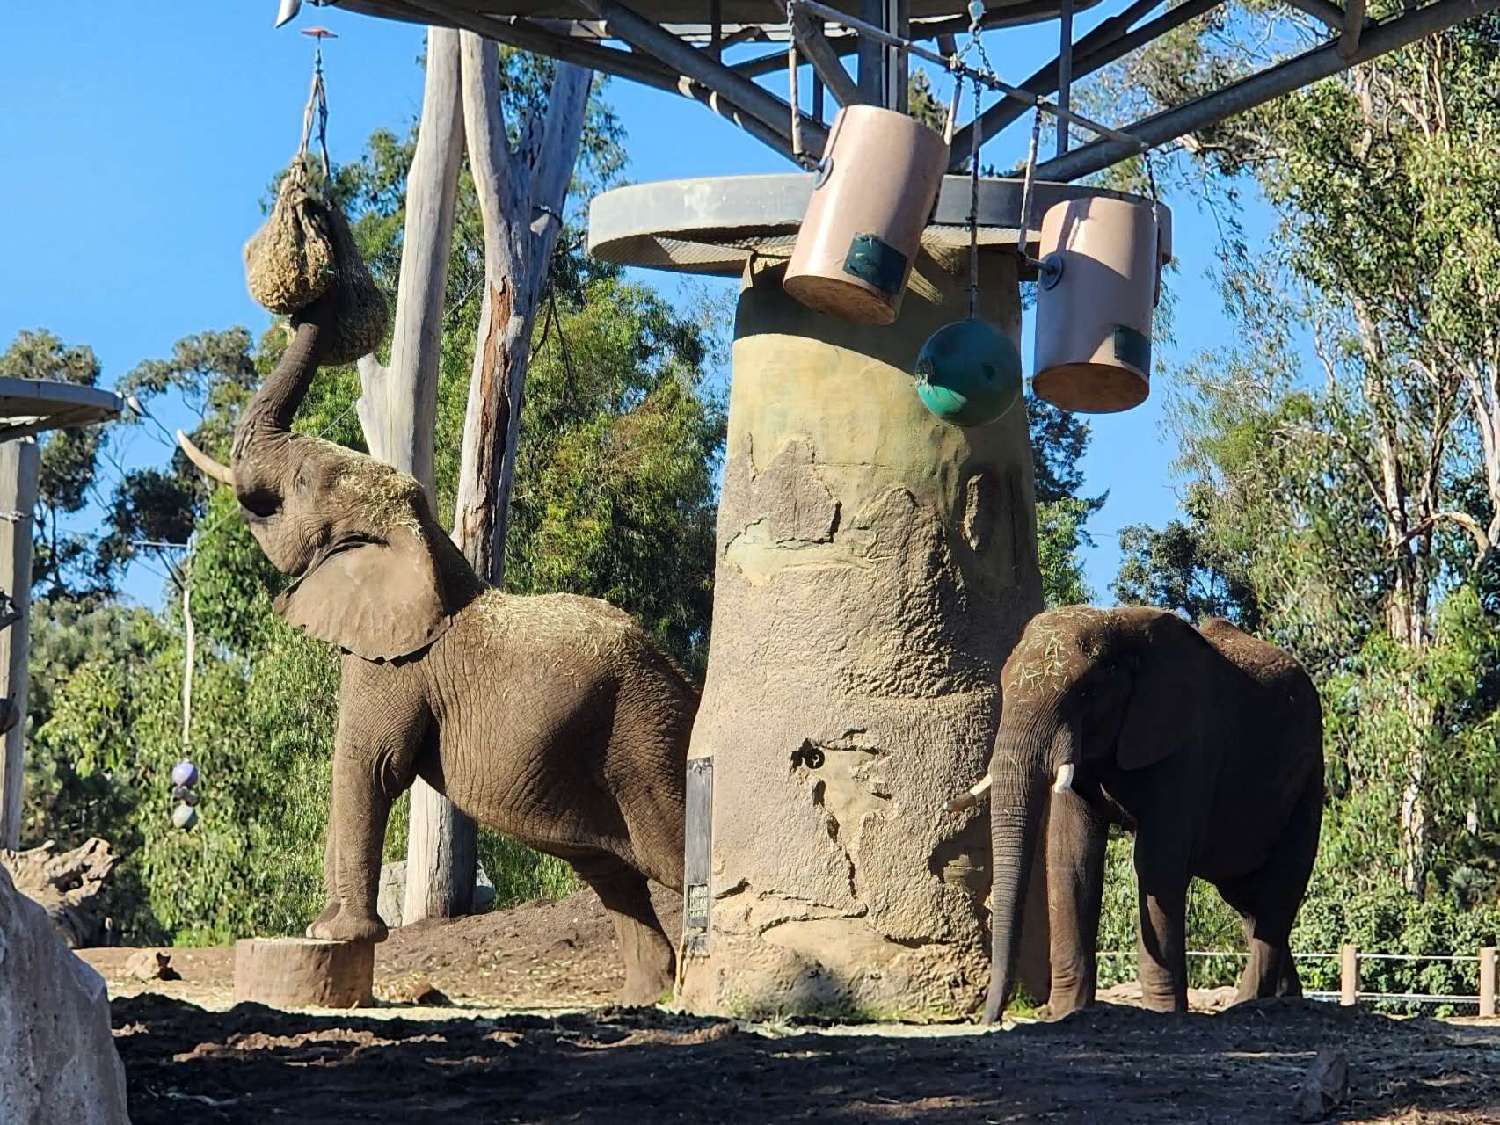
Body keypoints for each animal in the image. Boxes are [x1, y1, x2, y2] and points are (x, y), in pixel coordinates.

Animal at [178, 299, 697, 1004]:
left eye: (303, 481)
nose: (313, 304)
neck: (418, 538)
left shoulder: (395, 663)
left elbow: (369, 767)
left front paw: (333, 933)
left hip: (647, 743)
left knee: (676, 852)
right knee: (611, 874)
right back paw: (645, 997)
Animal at [969, 605, 1323, 1021]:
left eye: (1086, 693)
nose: (988, 1018)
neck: (1119, 628)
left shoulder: (1191, 743)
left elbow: (1158, 863)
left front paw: (1162, 1012)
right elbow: (1071, 857)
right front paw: (1067, 1013)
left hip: (1308, 781)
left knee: (1279, 891)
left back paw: (1248, 1003)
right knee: (1247, 899)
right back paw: (1285, 999)